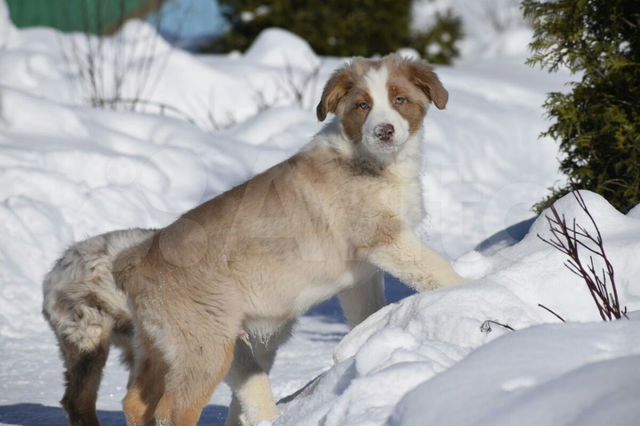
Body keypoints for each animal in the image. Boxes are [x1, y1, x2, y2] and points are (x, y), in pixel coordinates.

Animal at [41, 54, 460, 426]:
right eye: (362, 106)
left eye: (400, 100)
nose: (384, 131)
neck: (374, 162)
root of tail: (132, 258)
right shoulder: (386, 240)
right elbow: (439, 272)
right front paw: (471, 292)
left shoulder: (362, 275)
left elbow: (367, 314)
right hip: (205, 345)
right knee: (173, 411)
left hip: (160, 345)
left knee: (136, 402)